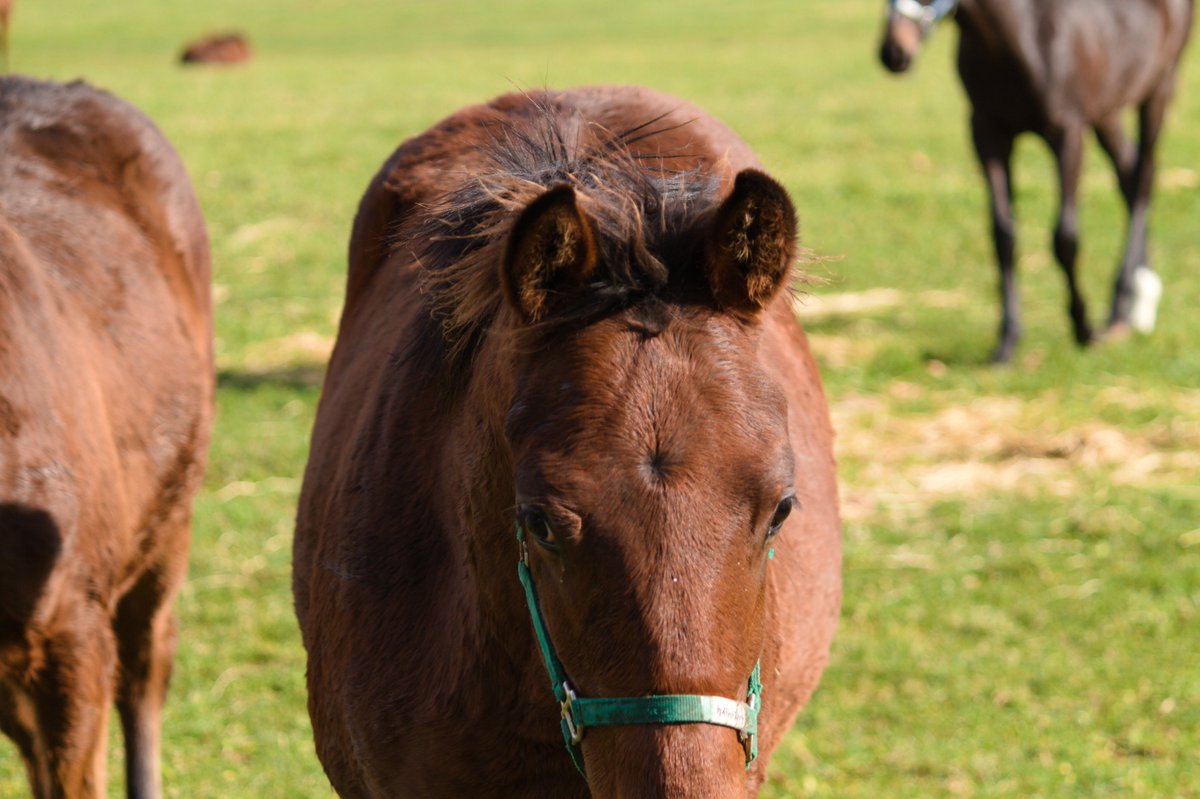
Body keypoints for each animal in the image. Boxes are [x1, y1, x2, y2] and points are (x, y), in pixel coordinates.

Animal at [879, 0, 1195, 362]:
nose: (894, 53)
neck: (1023, 35)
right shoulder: (987, 132)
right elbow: (1003, 236)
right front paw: (1007, 340)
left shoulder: (1068, 132)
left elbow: (1065, 238)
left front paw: (1083, 328)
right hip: (1107, 111)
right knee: (1129, 177)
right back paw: (1129, 308)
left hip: (1159, 89)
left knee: (1143, 180)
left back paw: (1124, 302)